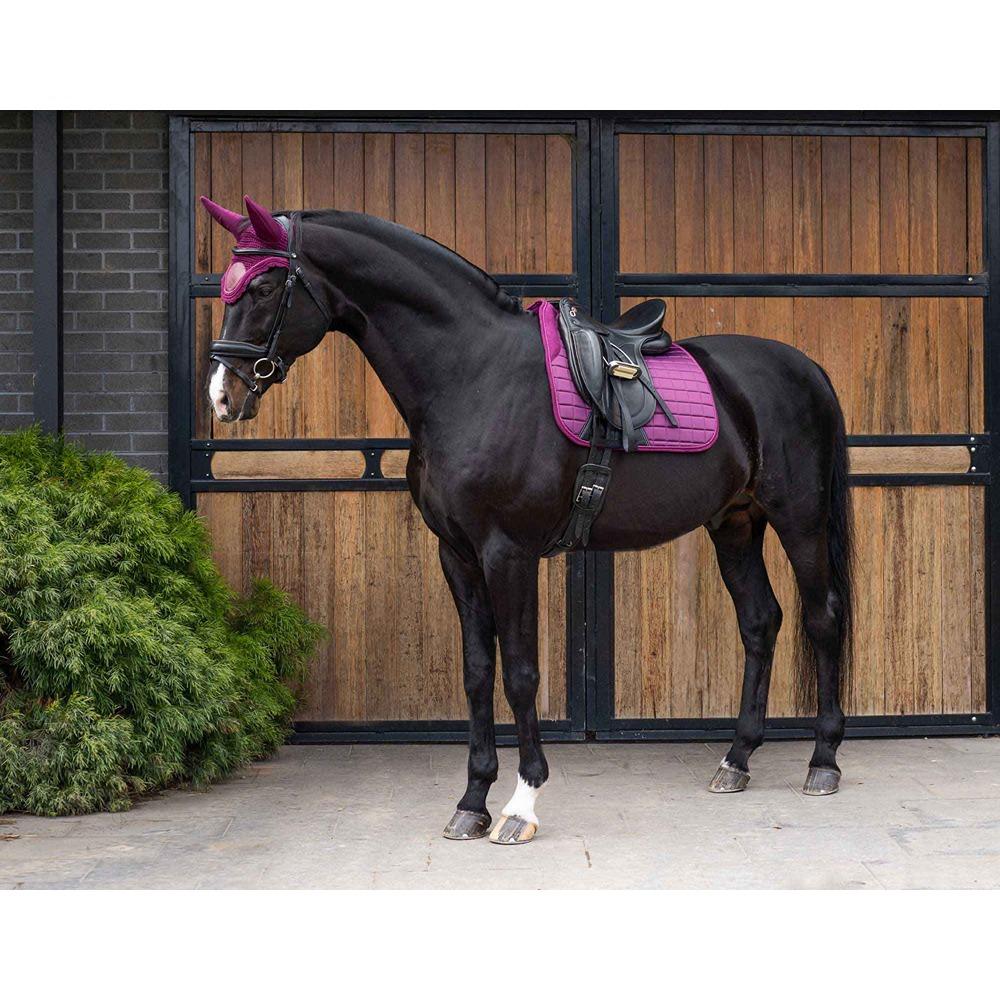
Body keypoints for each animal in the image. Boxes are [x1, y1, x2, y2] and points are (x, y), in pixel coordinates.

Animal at [200, 195, 854, 845]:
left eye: (264, 288)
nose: (223, 396)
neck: (473, 376)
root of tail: (807, 368)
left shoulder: (507, 553)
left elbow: (519, 673)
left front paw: (520, 804)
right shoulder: (458, 555)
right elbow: (477, 672)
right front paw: (472, 801)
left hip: (799, 521)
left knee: (821, 619)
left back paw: (823, 762)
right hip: (735, 523)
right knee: (760, 622)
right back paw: (736, 760)